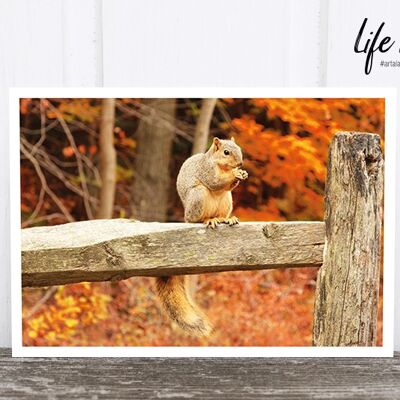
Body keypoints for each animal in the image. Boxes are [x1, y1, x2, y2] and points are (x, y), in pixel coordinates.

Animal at [155, 138, 247, 338]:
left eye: (239, 149)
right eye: (226, 152)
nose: (240, 164)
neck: (219, 164)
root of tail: (186, 216)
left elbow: (229, 185)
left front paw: (242, 174)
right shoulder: (207, 171)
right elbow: (216, 181)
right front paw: (235, 173)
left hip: (227, 199)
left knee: (222, 211)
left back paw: (226, 218)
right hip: (198, 196)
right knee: (199, 218)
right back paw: (209, 219)